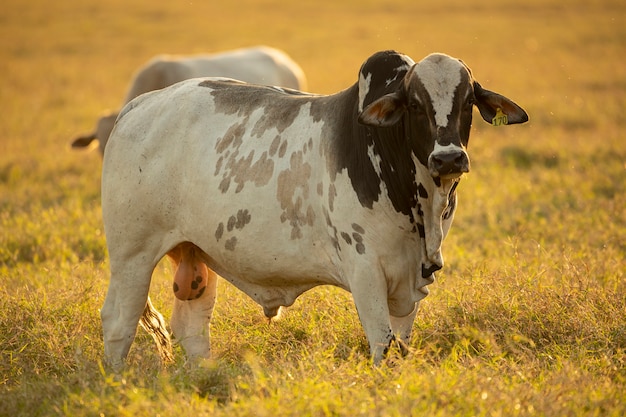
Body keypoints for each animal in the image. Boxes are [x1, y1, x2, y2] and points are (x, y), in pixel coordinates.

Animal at [101, 49, 528, 368]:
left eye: (468, 101)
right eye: (415, 105)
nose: (448, 158)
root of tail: (139, 105)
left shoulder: (413, 279)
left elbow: (402, 347)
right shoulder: (365, 272)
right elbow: (383, 345)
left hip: (195, 252)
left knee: (191, 325)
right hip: (131, 256)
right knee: (118, 322)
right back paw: (115, 380)